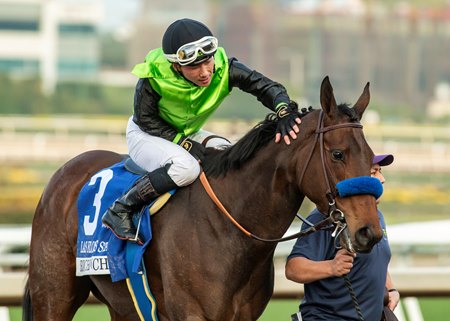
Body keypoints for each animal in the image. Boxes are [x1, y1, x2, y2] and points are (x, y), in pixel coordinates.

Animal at [21, 76, 380, 318]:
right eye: (337, 154)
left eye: (372, 158)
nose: (370, 232)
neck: (231, 229)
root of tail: (63, 173)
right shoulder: (192, 313)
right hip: (54, 294)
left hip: (123, 304)